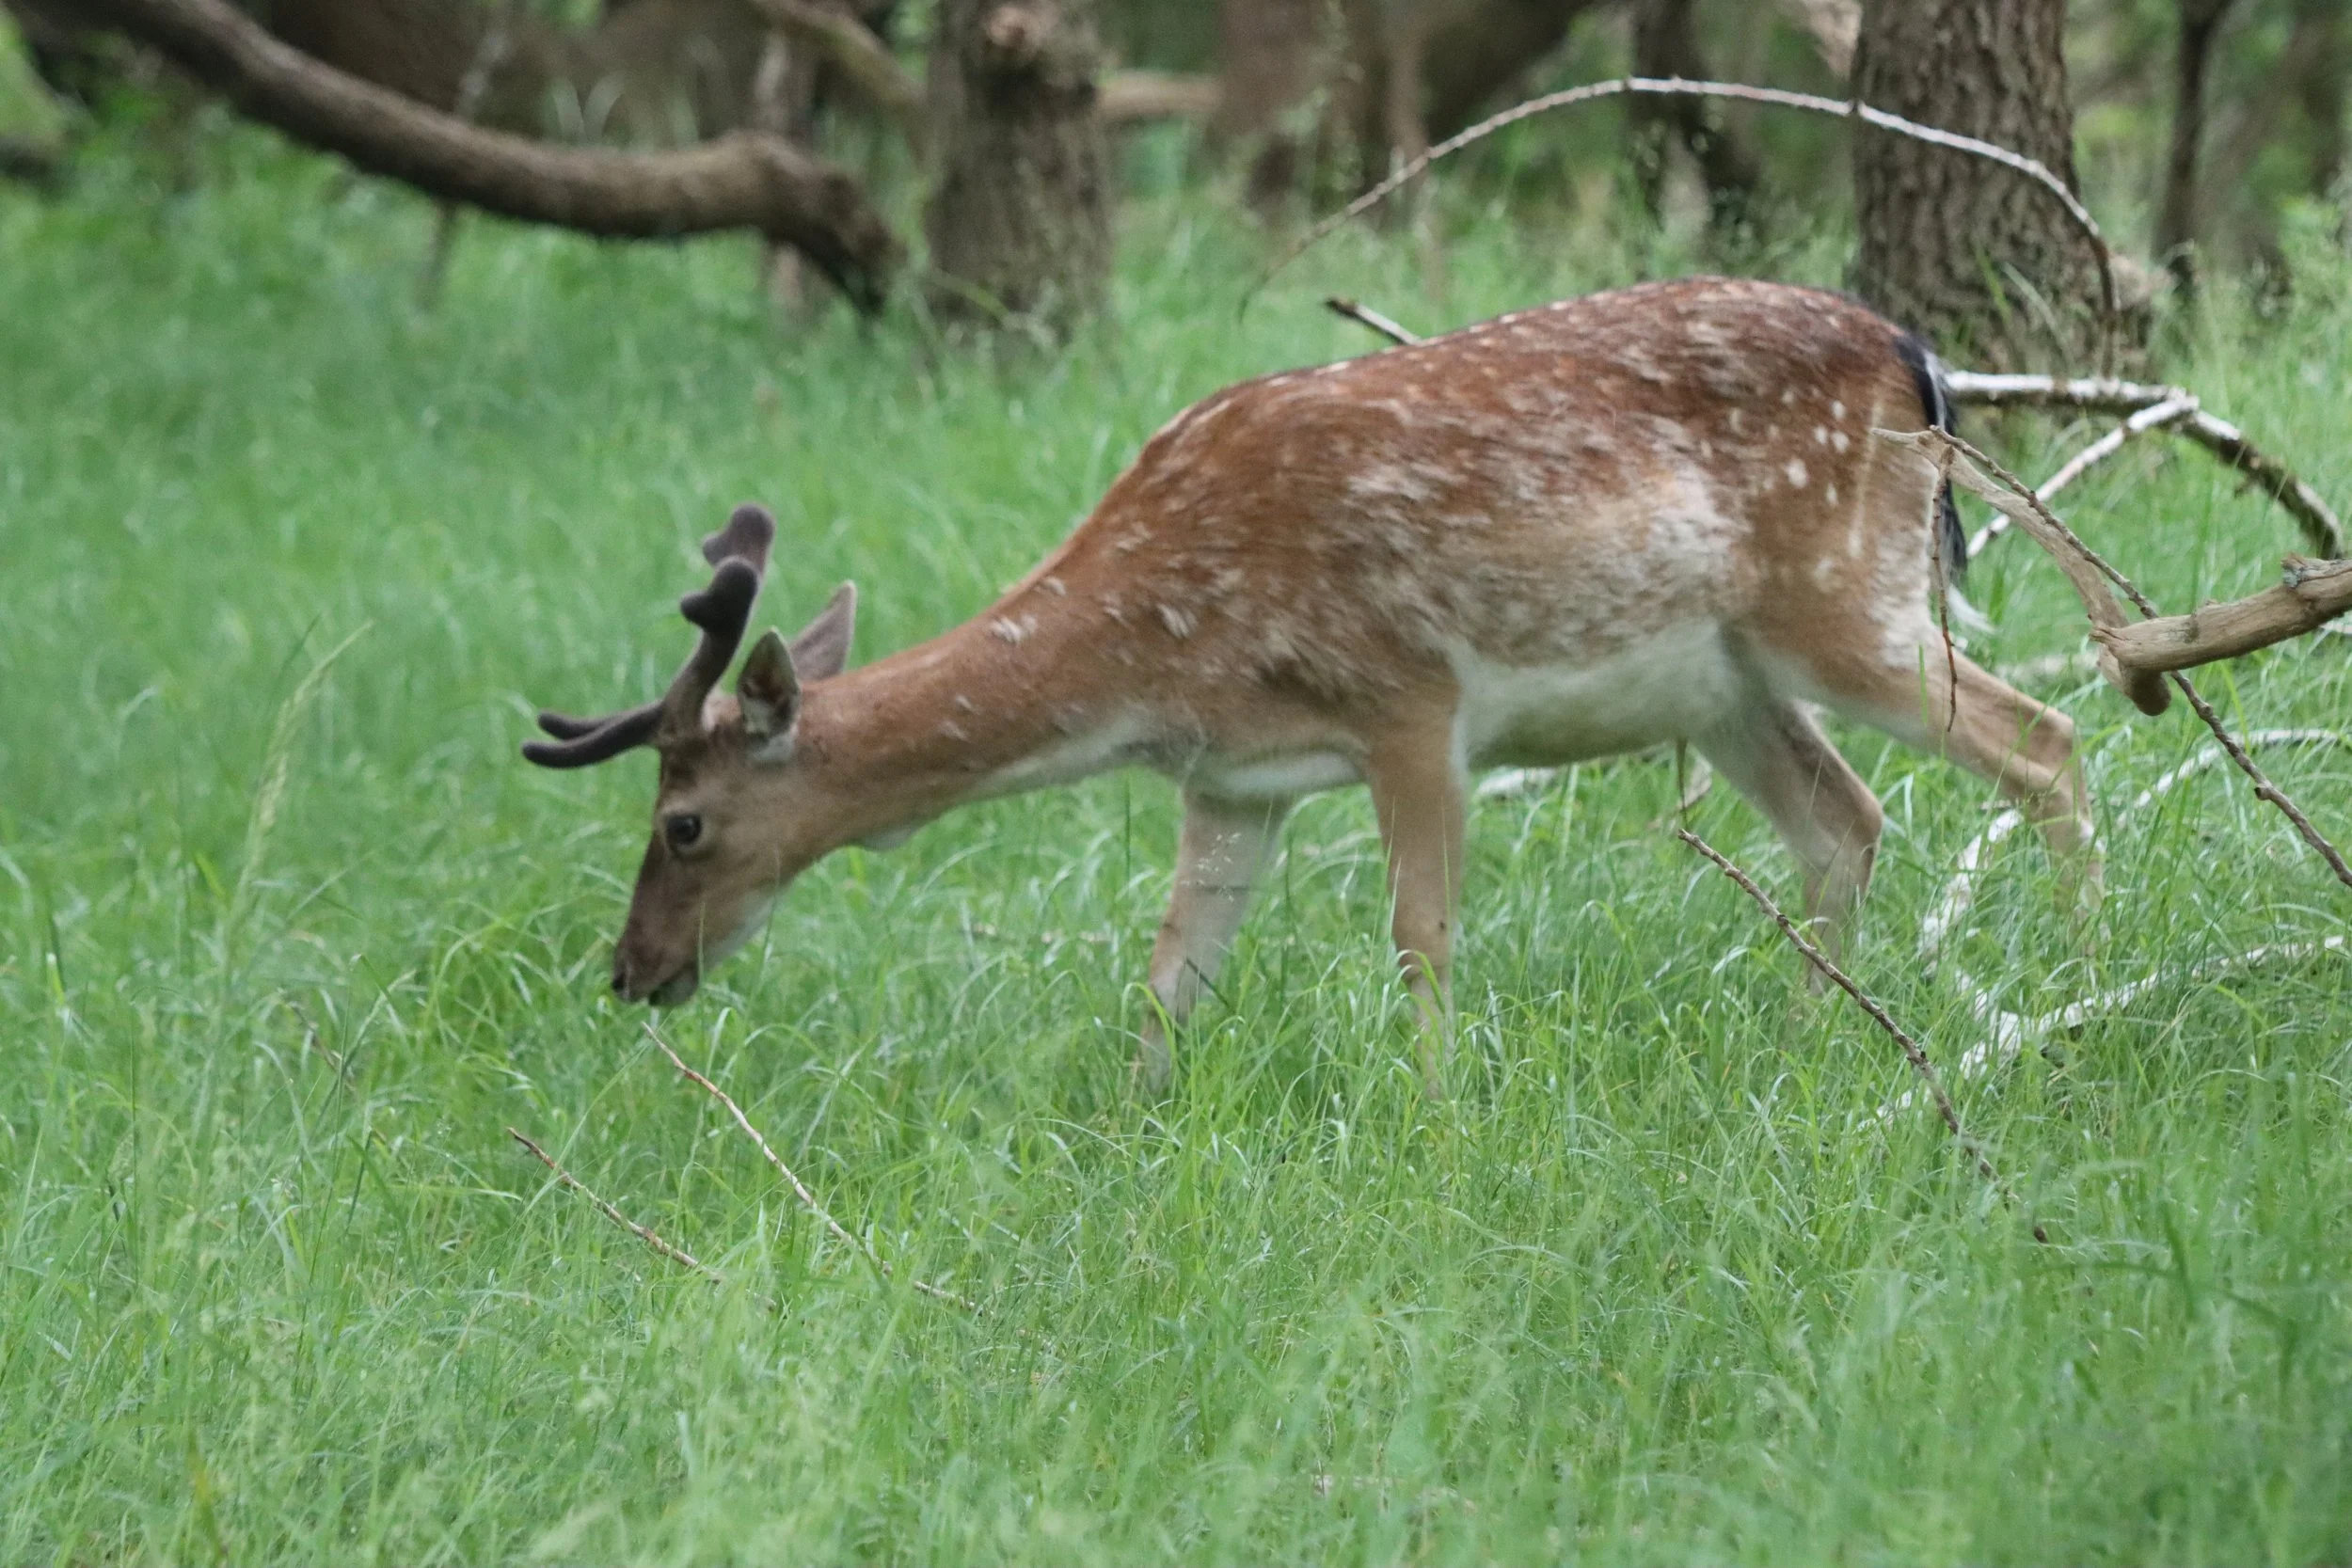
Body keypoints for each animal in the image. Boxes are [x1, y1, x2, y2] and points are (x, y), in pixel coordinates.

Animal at [523, 276, 2096, 1095]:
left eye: (681, 823)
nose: (630, 970)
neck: (1153, 655)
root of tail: (1916, 357)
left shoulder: (1409, 699)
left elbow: (1423, 937)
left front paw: (1438, 1118)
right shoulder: (1229, 783)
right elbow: (1171, 976)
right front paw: (1130, 1132)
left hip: (1845, 598)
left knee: (2050, 733)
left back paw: (2078, 971)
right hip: (1725, 682)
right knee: (1846, 820)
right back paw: (1807, 1040)